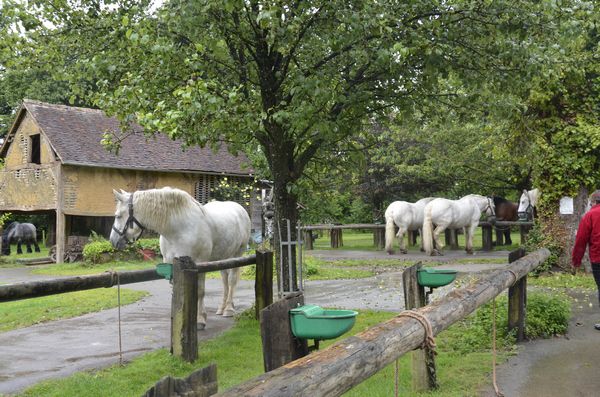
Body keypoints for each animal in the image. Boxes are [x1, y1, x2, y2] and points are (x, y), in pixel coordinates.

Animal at [110, 186, 251, 328]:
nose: (113, 240)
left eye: (118, 216)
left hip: (237, 254)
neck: (178, 230)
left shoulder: (200, 263)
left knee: (232, 280)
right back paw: (222, 308)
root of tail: (240, 208)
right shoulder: (172, 267)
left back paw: (228, 309)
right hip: (223, 257)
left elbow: (200, 292)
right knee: (225, 280)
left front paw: (200, 319)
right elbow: (176, 293)